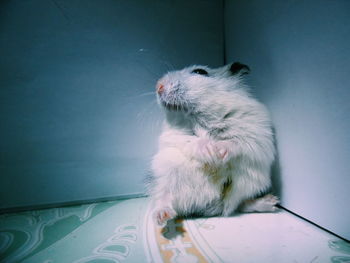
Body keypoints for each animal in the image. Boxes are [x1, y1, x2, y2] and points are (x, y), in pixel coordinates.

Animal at [148, 63, 278, 226]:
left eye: (200, 72)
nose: (158, 86)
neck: (198, 118)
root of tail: (208, 207)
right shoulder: (173, 136)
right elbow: (192, 140)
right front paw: (211, 152)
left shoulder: (253, 134)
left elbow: (235, 142)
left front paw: (218, 152)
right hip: (166, 174)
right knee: (163, 198)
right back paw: (162, 217)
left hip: (250, 182)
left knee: (238, 205)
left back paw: (271, 202)